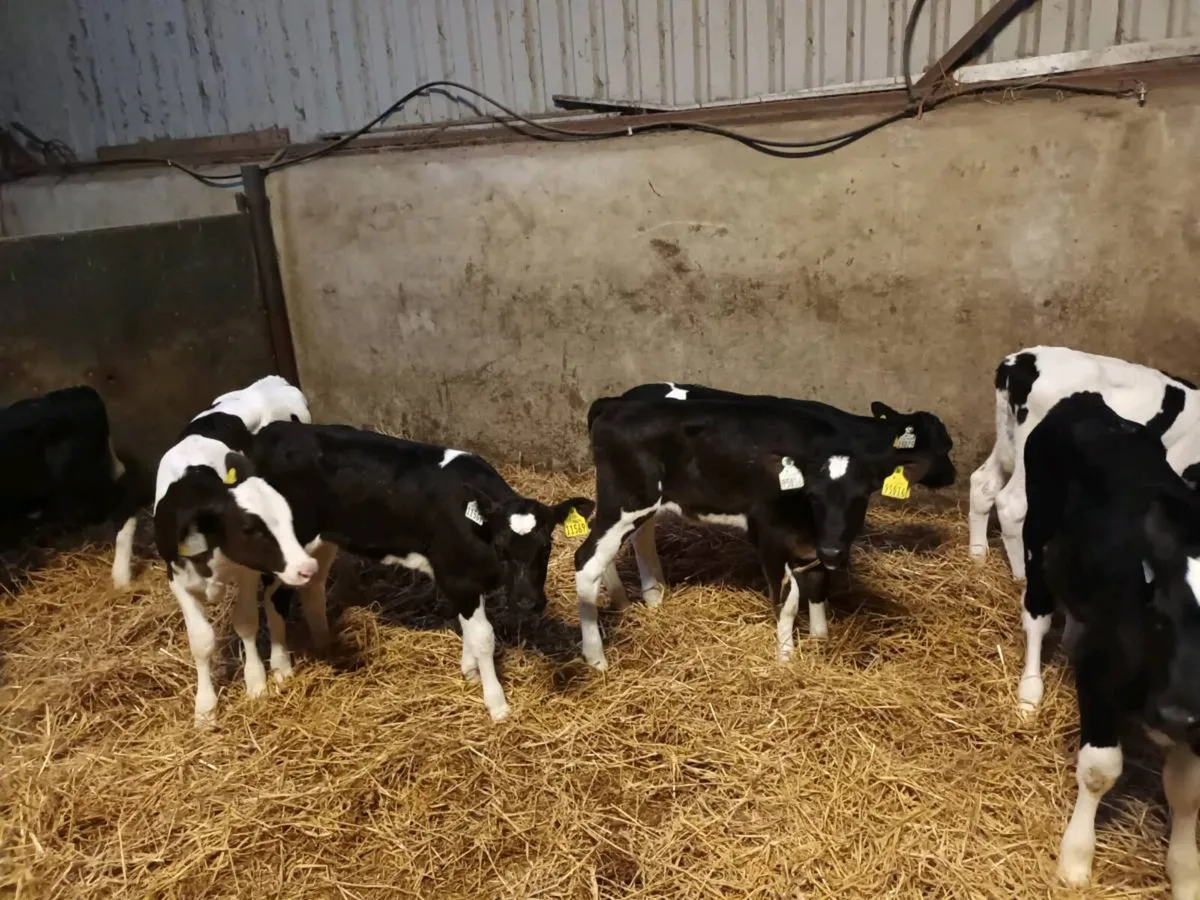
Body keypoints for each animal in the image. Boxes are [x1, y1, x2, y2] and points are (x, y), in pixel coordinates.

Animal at [154, 376, 318, 727]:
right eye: (249, 528)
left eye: (286, 517)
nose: (308, 567)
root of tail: (272, 381)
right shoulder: (177, 579)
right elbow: (201, 641)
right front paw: (205, 708)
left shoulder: (247, 572)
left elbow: (246, 622)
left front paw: (255, 682)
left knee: (274, 602)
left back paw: (280, 664)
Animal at [249, 422, 593, 723]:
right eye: (501, 547)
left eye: (546, 546)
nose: (528, 602)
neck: (475, 526)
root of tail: (272, 431)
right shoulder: (458, 577)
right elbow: (483, 636)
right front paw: (496, 703)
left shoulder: (464, 579)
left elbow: (469, 629)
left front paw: (469, 670)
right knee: (274, 596)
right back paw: (281, 667)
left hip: (324, 539)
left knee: (313, 586)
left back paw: (324, 643)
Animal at [574, 387, 956, 670]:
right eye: (945, 447)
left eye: (862, 497)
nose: (952, 476)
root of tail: (615, 404)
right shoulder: (769, 536)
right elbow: (788, 600)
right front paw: (786, 658)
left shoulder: (817, 541)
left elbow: (818, 585)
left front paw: (820, 639)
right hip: (626, 502)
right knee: (586, 560)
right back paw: (596, 658)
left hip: (632, 506)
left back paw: (640, 599)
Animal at [969, 346, 1200, 580]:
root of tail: (1018, 361)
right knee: (1011, 506)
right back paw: (1022, 576)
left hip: (1006, 439)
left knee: (983, 483)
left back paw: (977, 555)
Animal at [1017, 390, 1200, 896]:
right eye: (1158, 613)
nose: (1175, 714)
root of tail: (1089, 402)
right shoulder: (1101, 673)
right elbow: (1101, 769)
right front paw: (1076, 859)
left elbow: (1187, 794)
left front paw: (1185, 872)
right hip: (1036, 533)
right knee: (1036, 616)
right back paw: (1029, 692)